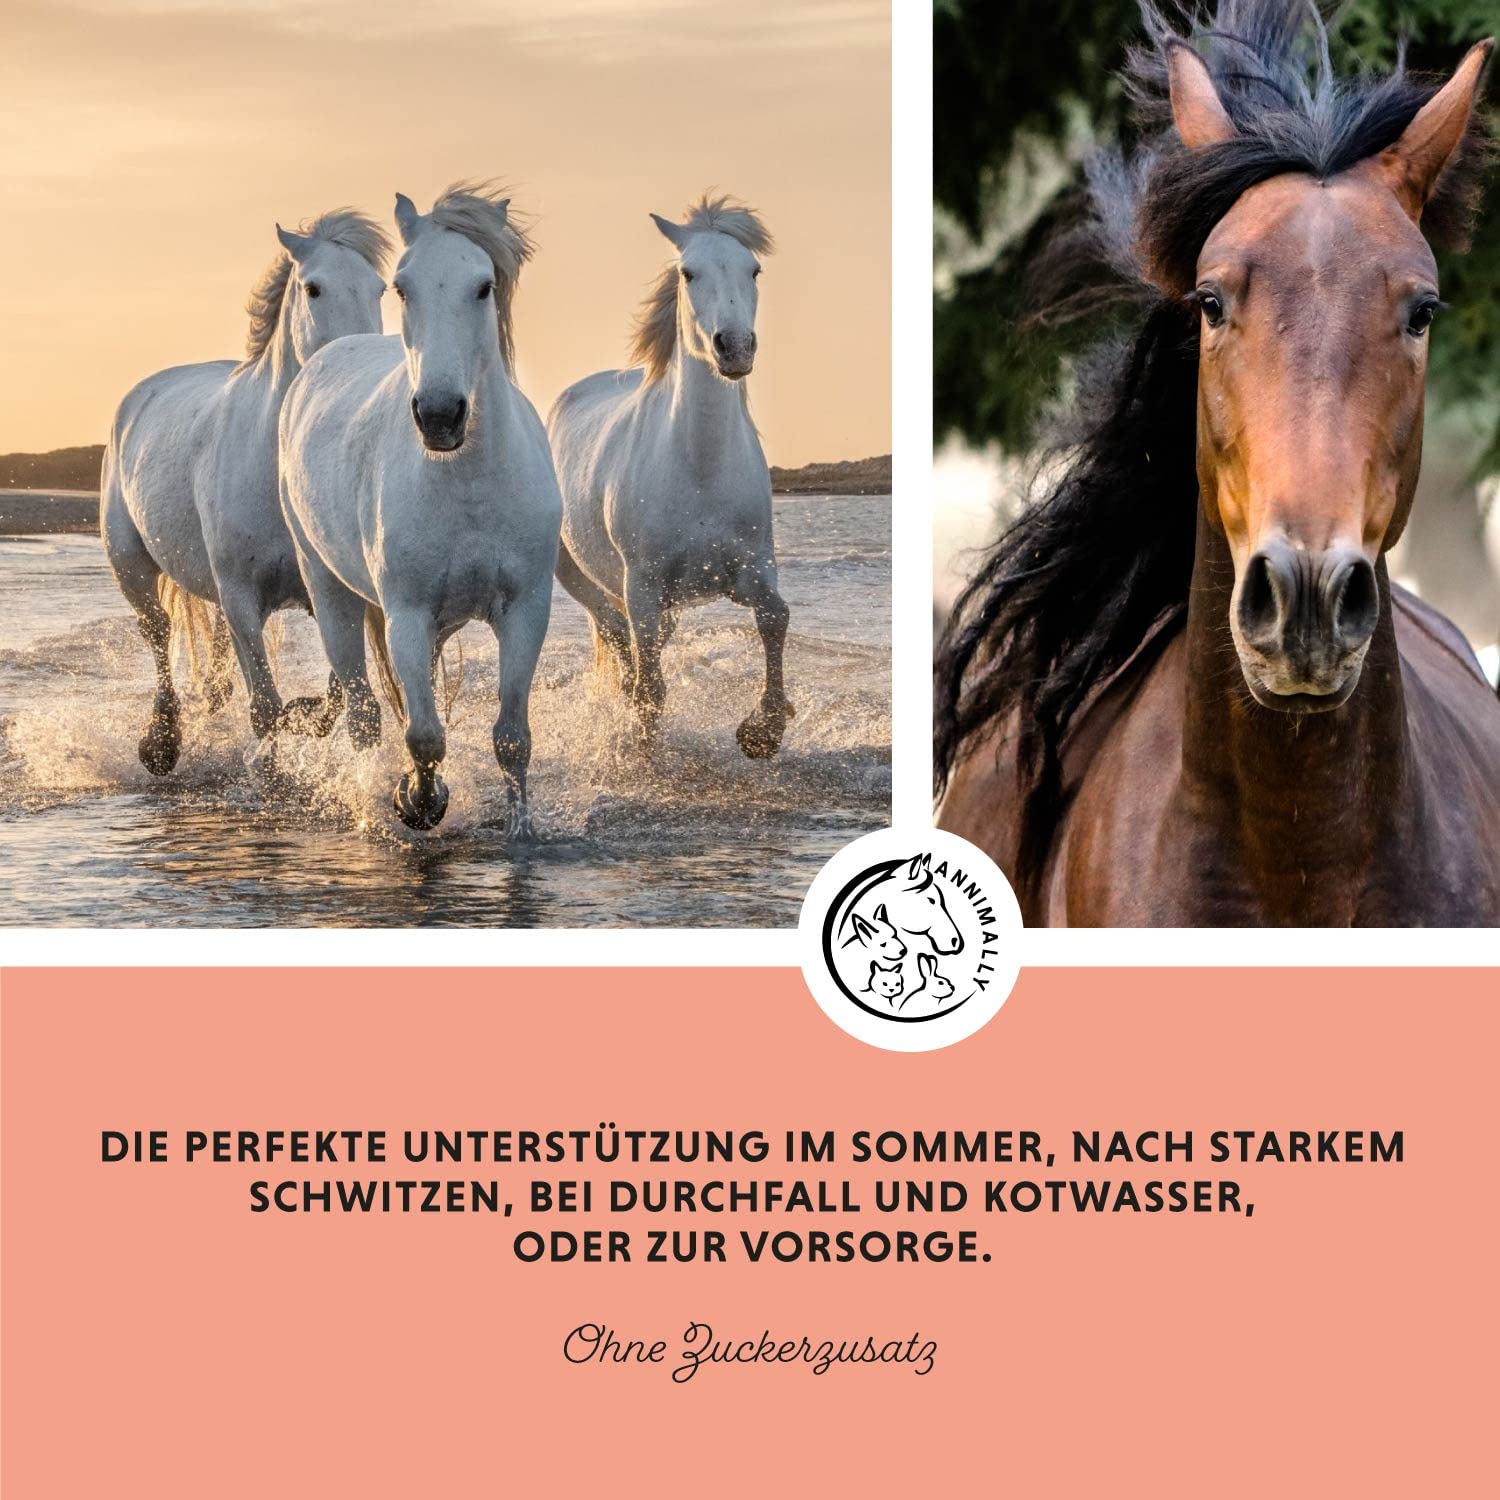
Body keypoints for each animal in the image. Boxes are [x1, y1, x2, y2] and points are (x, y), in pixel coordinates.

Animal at [101, 210, 390, 774]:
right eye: (313, 288)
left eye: (379, 288)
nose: (358, 363)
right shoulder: (241, 597)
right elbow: (265, 706)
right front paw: (273, 770)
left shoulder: (326, 589)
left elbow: (334, 694)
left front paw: (304, 717)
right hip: (131, 566)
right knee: (158, 633)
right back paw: (161, 744)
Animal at [278, 184, 561, 833]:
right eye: (402, 287)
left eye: (483, 285)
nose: (438, 415)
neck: (469, 484)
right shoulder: (405, 614)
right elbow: (424, 736)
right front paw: (418, 801)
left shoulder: (525, 610)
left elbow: (512, 737)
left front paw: (521, 829)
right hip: (330, 592)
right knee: (363, 711)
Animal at [547, 193, 794, 757]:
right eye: (688, 272)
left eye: (754, 269)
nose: (735, 347)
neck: (700, 470)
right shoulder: (642, 584)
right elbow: (650, 687)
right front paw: (646, 751)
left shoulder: (752, 567)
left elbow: (776, 616)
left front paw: (763, 730)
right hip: (582, 576)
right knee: (618, 637)